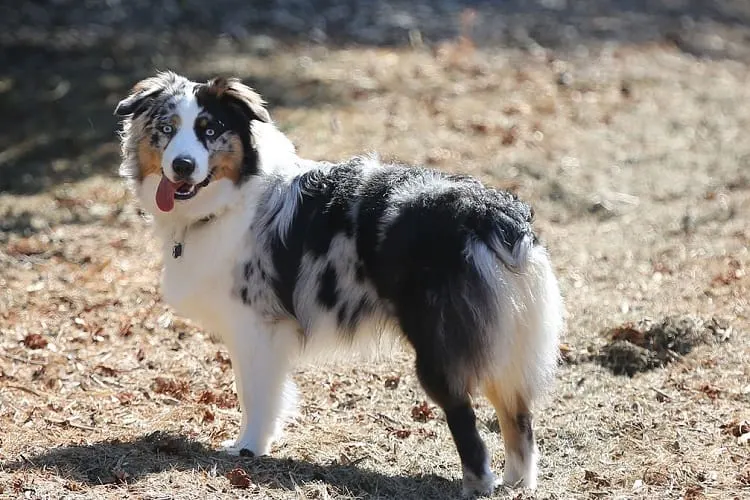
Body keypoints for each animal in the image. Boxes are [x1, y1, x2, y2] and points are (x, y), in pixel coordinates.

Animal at [116, 71, 564, 496]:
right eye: (167, 128)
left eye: (209, 130)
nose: (182, 166)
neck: (232, 198)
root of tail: (494, 214)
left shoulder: (256, 324)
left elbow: (255, 393)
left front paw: (248, 448)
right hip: (503, 342)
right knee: (519, 418)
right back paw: (517, 483)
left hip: (440, 348)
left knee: (468, 423)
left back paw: (478, 484)